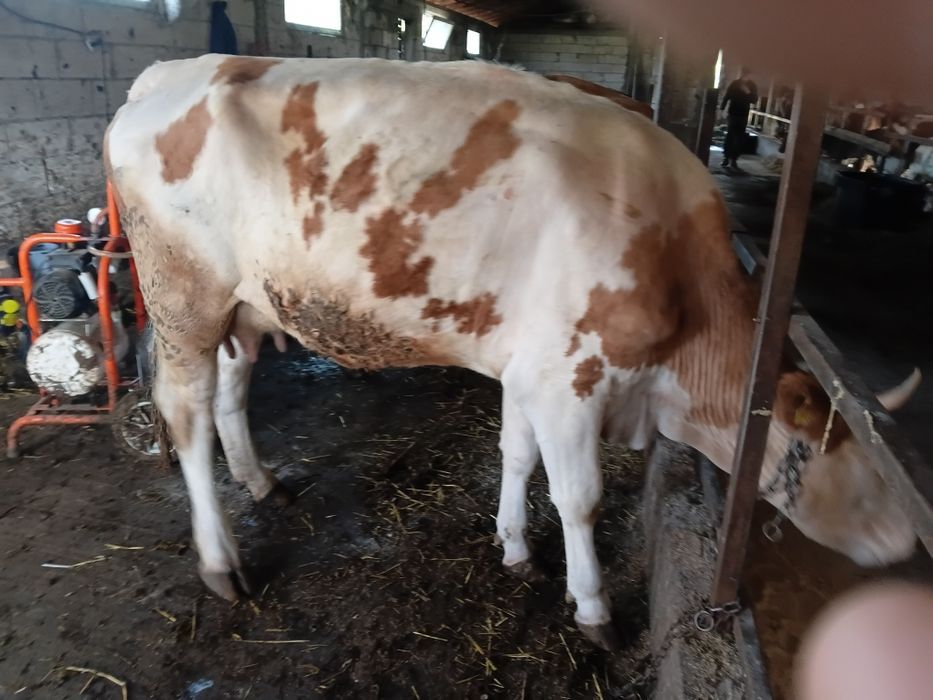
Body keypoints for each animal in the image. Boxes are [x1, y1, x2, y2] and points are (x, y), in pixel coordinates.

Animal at [105, 55, 918, 650]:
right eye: (850, 470)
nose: (910, 539)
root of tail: (170, 71)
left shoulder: (532, 370)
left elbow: (517, 456)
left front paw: (514, 547)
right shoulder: (570, 382)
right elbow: (580, 498)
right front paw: (592, 609)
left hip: (243, 307)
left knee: (232, 390)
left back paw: (263, 482)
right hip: (185, 299)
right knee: (187, 415)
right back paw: (221, 563)